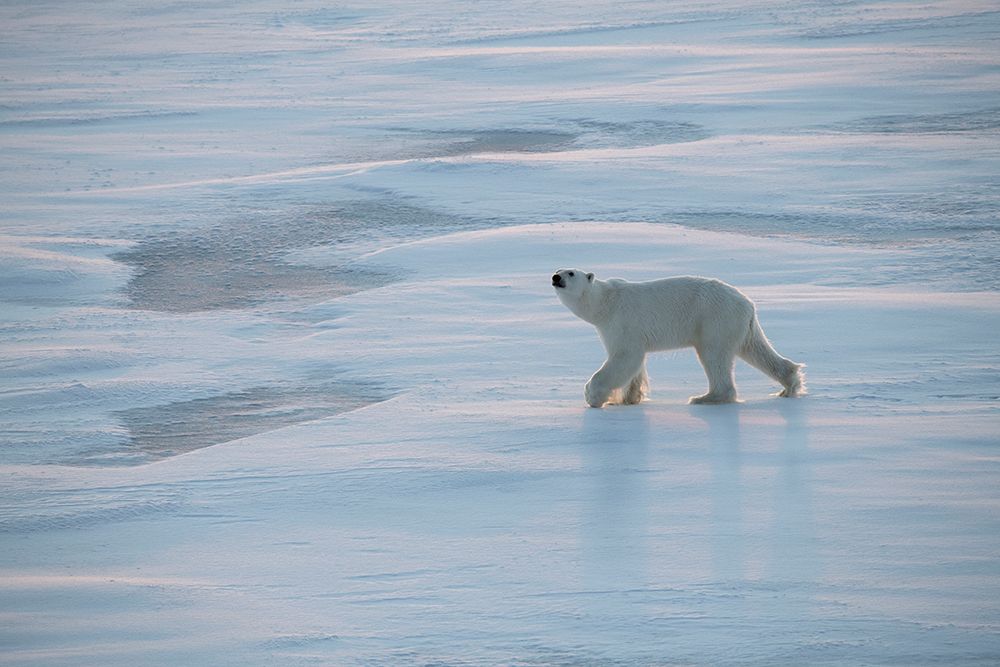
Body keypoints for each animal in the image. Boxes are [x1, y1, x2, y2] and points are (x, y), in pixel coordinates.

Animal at [556, 268, 804, 408]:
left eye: (571, 273)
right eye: (560, 269)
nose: (555, 277)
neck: (605, 303)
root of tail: (748, 303)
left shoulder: (622, 322)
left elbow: (624, 358)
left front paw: (594, 396)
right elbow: (635, 366)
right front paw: (627, 399)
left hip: (714, 319)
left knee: (714, 356)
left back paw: (705, 397)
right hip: (741, 325)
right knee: (755, 349)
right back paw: (789, 384)